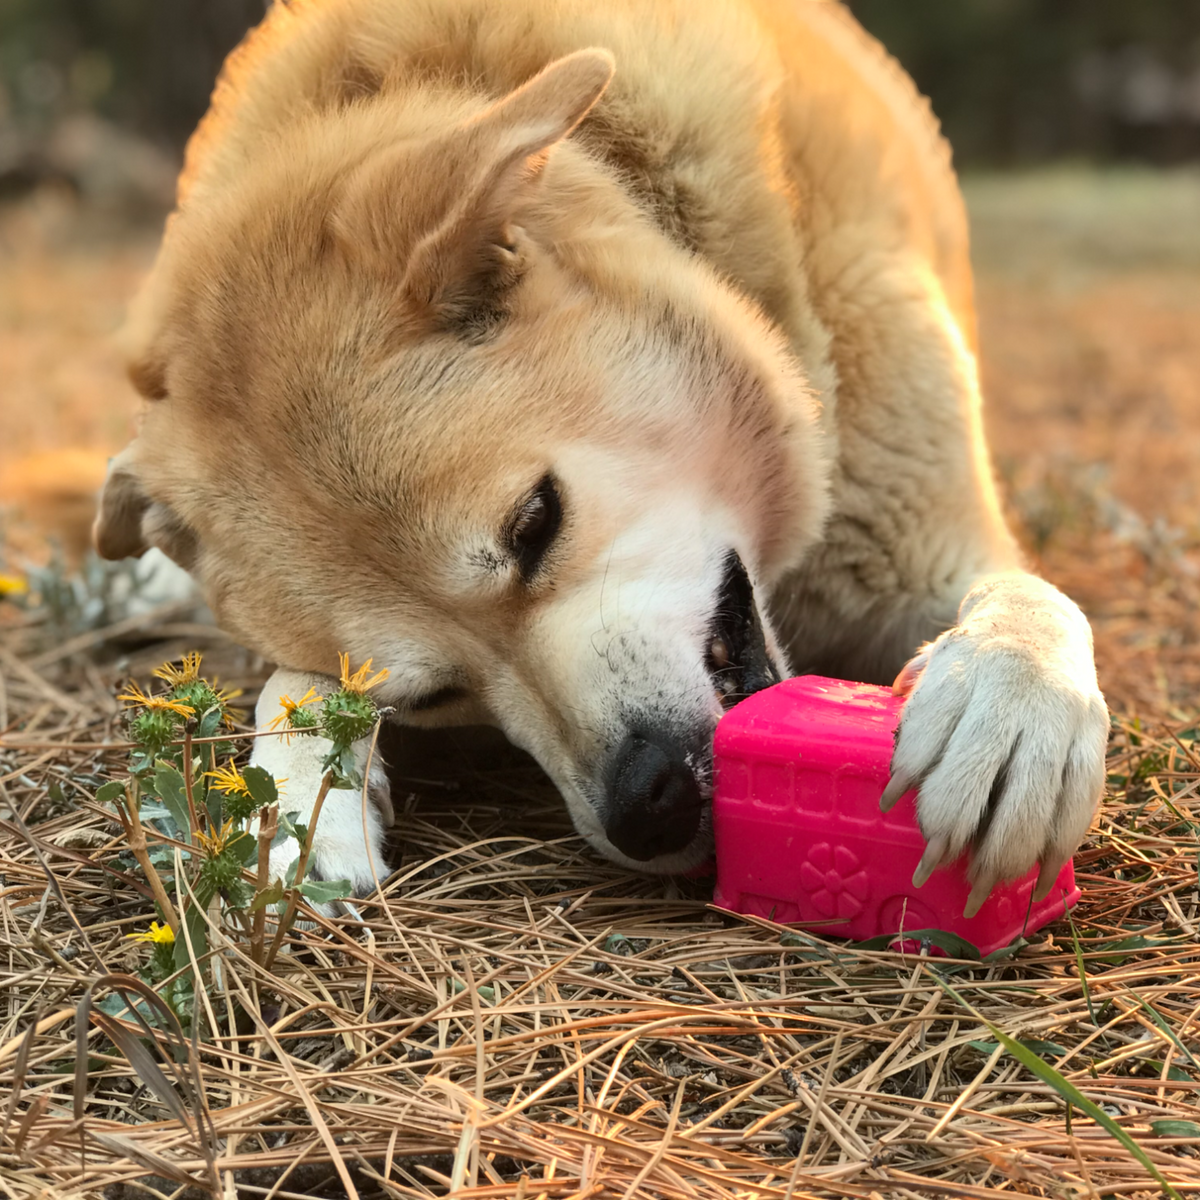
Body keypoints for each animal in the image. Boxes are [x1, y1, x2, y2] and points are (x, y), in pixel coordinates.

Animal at [91, 2, 1104, 916]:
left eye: (537, 522)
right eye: (430, 696)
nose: (646, 808)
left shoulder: (925, 546)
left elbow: (1027, 598)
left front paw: (1008, 700)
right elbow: (289, 687)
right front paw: (300, 804)